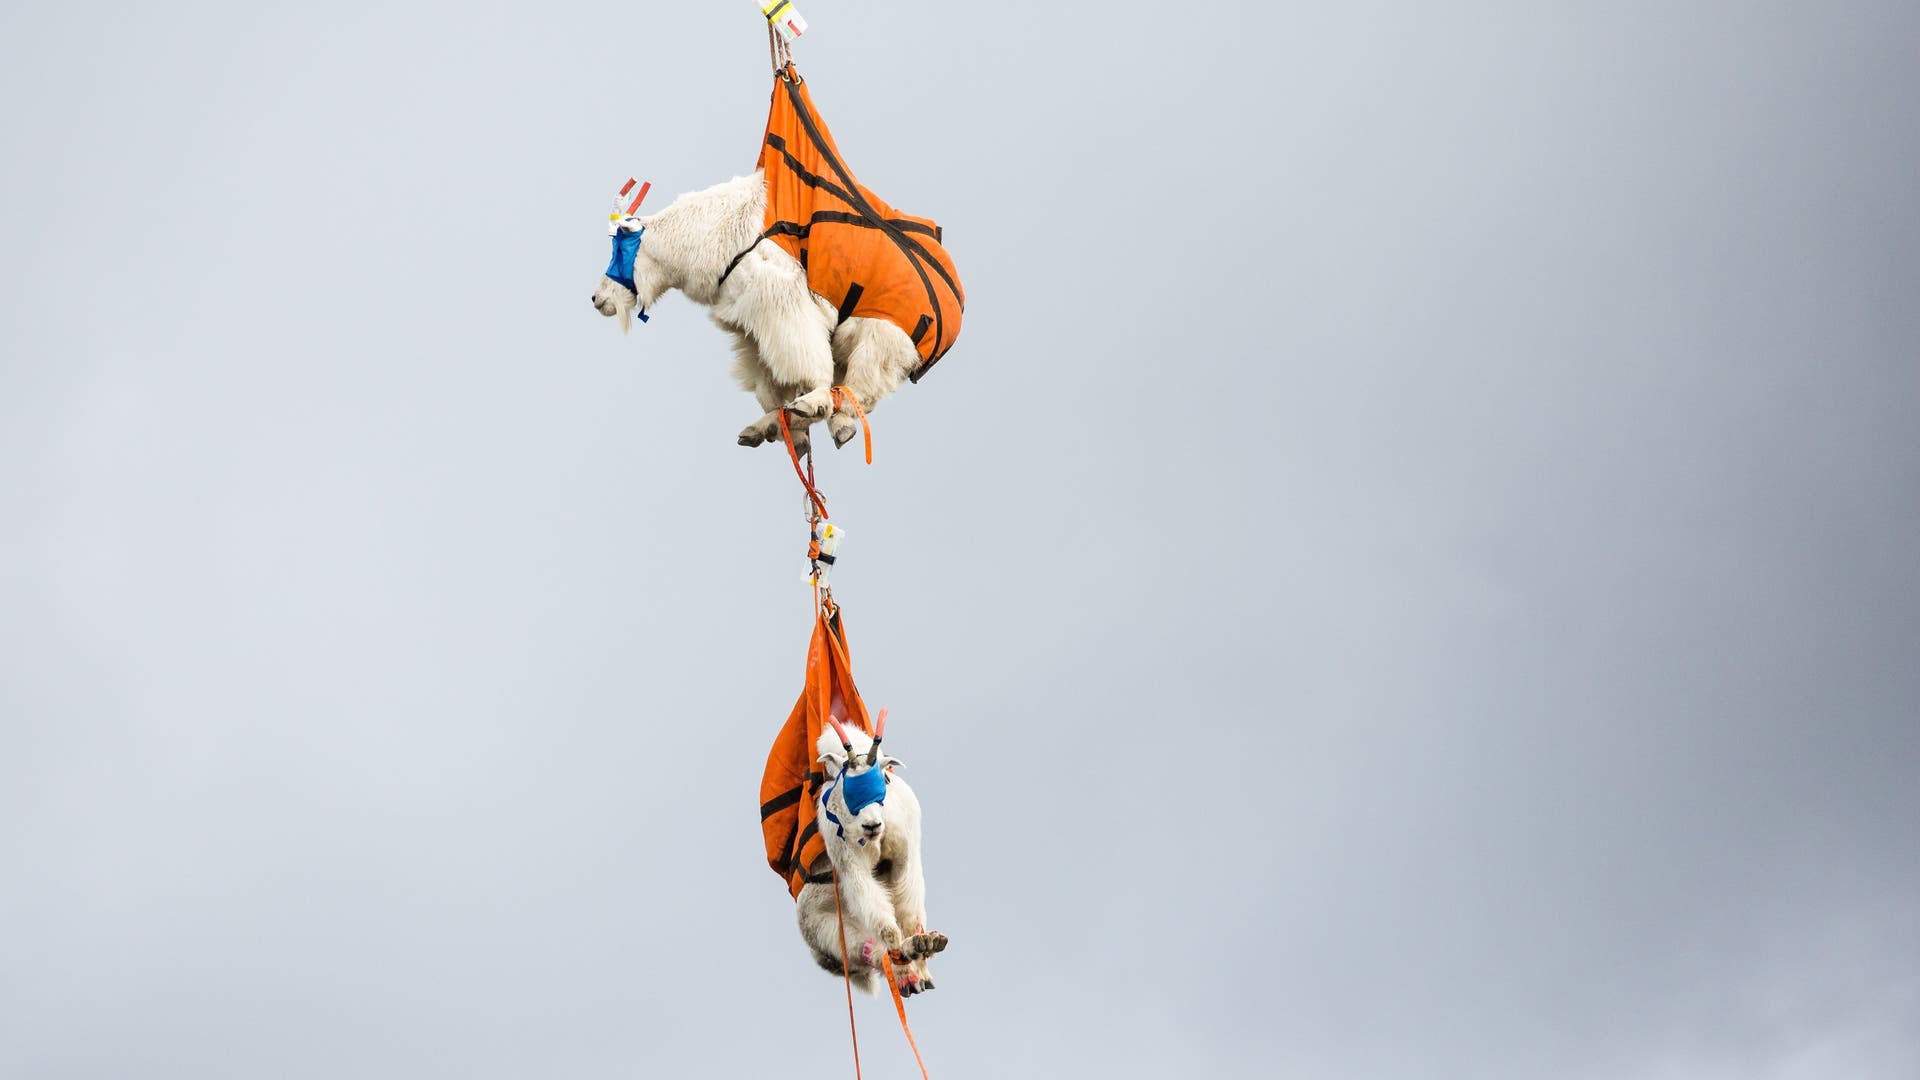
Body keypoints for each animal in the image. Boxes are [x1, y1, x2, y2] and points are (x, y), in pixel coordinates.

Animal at [587, 171, 925, 453]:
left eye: (620, 249)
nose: (597, 298)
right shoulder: (749, 324)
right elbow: (767, 383)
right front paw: (786, 428)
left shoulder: (783, 303)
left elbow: (806, 361)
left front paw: (809, 404)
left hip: (880, 337)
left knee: (859, 392)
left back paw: (822, 417)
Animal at [791, 711, 948, 999]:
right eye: (849, 789)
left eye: (882, 781)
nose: (871, 825)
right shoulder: (847, 854)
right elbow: (870, 898)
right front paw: (904, 953)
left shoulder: (905, 851)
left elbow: (907, 902)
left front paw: (924, 948)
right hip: (827, 931)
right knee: (869, 950)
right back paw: (904, 967)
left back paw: (923, 951)